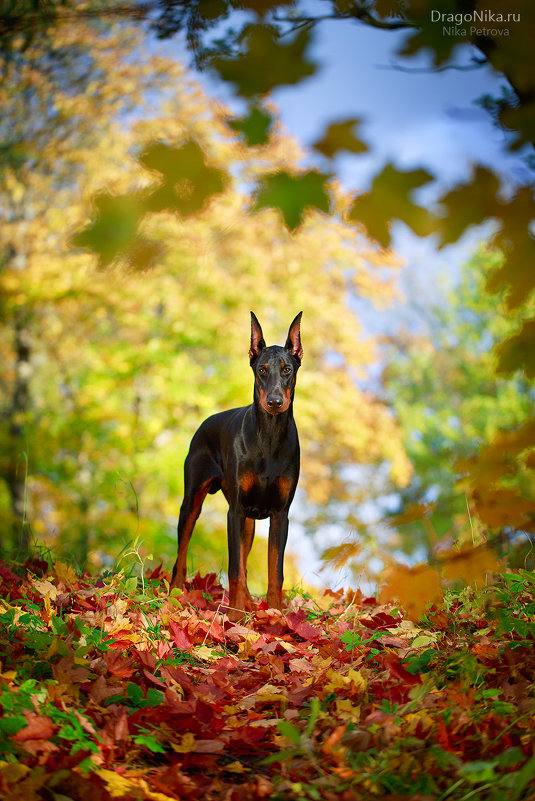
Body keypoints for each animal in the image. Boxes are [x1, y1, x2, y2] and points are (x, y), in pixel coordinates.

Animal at [173, 312, 306, 620]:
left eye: (287, 369)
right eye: (262, 370)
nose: (274, 402)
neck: (269, 436)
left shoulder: (281, 514)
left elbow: (275, 572)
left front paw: (275, 615)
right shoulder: (233, 512)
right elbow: (235, 570)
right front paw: (234, 618)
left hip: (249, 523)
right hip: (193, 502)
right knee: (182, 552)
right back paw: (174, 593)